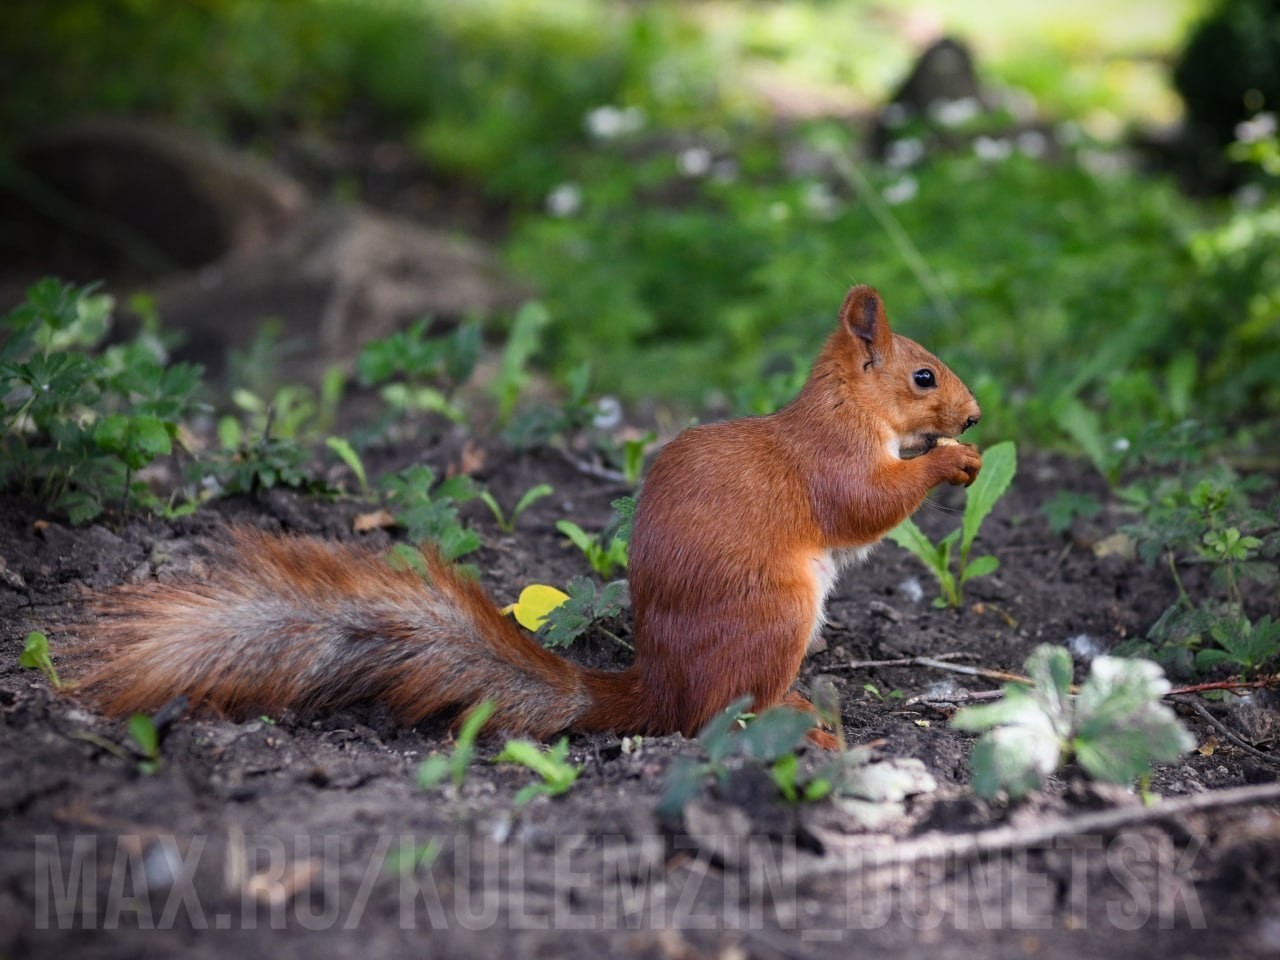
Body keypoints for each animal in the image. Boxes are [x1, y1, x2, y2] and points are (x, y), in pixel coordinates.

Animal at [69, 285, 982, 749]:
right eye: (924, 376)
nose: (974, 418)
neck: (844, 406)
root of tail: (659, 685)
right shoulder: (830, 461)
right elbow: (865, 503)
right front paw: (948, 463)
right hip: (775, 614)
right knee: (719, 713)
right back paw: (796, 713)